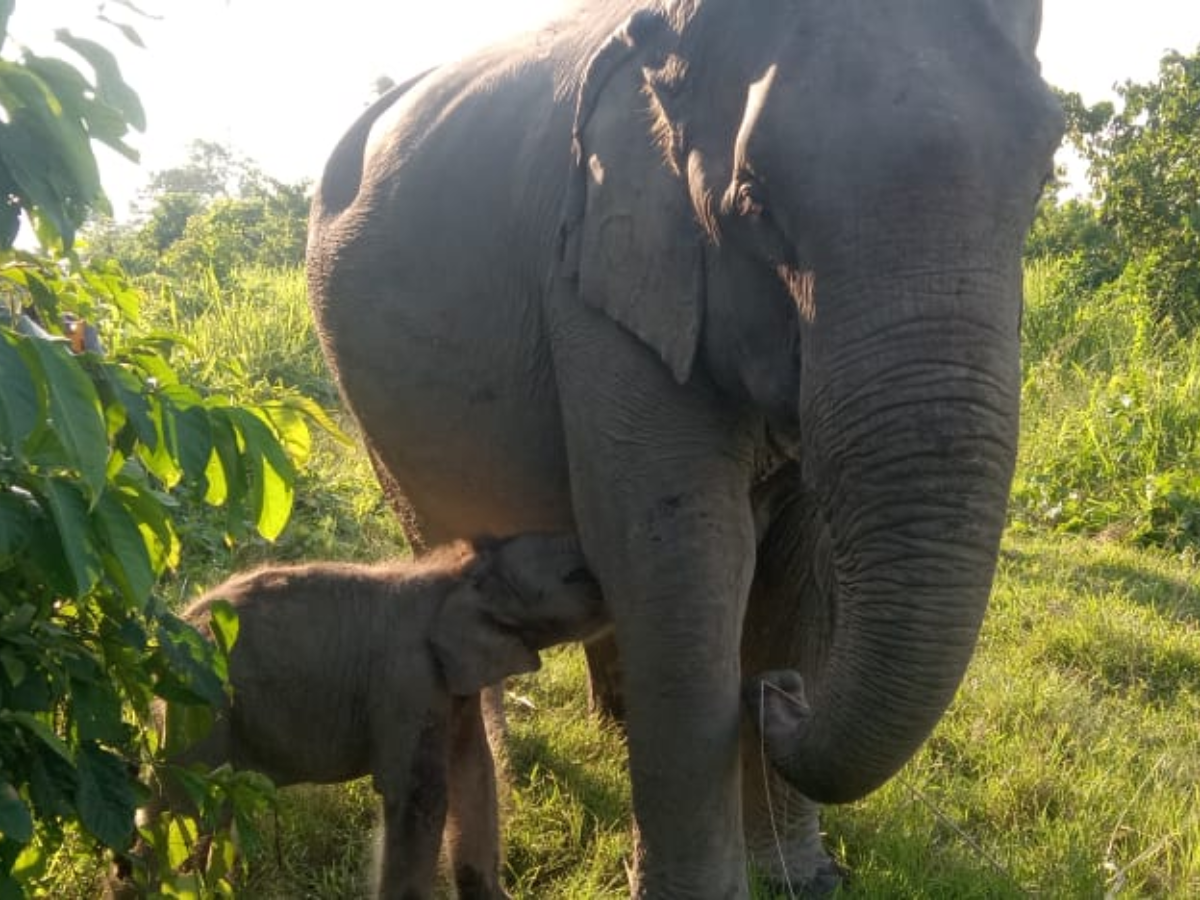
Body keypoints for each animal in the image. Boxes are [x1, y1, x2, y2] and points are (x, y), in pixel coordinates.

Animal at [116, 534, 605, 900]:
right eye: (576, 576)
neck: (456, 573)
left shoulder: (453, 690)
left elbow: (474, 774)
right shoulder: (405, 681)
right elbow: (419, 797)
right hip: (198, 711)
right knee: (183, 815)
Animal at [306, 1, 1063, 896]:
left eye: (1045, 176)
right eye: (755, 203)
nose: (780, 693)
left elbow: (799, 565)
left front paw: (803, 877)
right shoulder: (597, 280)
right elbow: (685, 556)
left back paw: (615, 727)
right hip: (366, 399)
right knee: (446, 549)